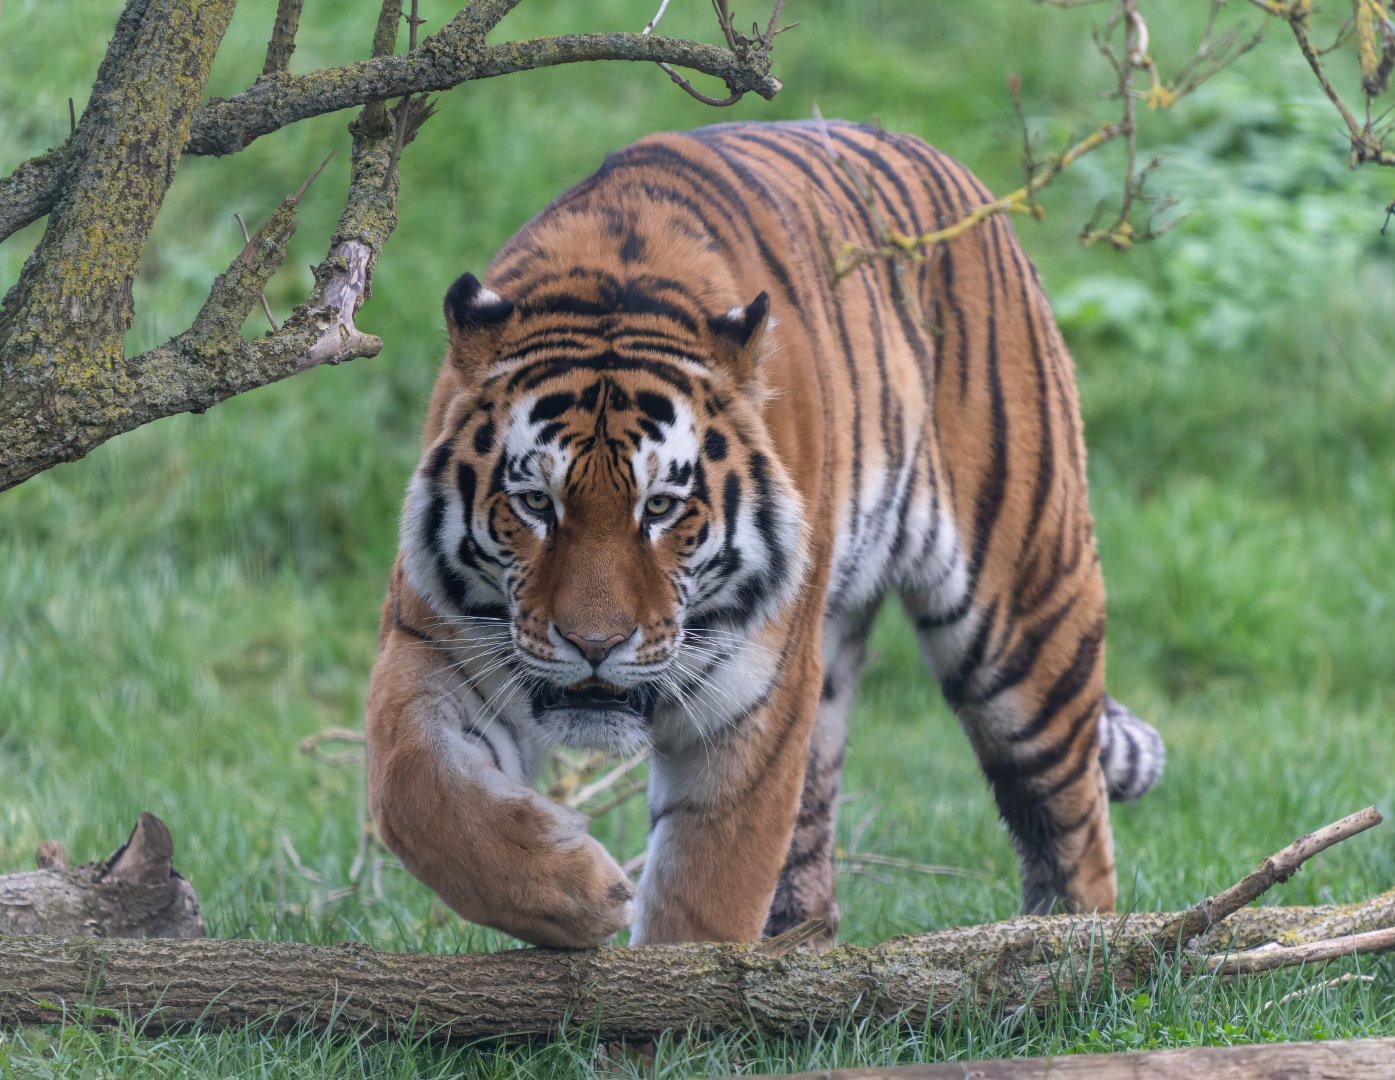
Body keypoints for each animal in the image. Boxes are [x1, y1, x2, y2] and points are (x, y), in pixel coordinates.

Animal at [365, 120, 1165, 949]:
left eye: (660, 507)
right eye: (534, 503)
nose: (594, 645)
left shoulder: (754, 692)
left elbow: (705, 896)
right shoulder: (436, 645)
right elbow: (416, 794)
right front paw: (576, 892)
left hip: (1022, 620)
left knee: (1071, 819)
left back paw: (1065, 945)